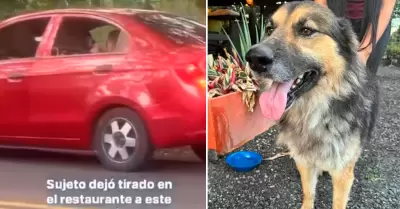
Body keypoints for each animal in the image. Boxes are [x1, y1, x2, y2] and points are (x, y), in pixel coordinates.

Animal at [245, 1, 380, 209]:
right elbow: (308, 192)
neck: (313, 115)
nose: (254, 58)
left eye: (307, 30)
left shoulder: (342, 173)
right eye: (269, 29)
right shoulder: (304, 161)